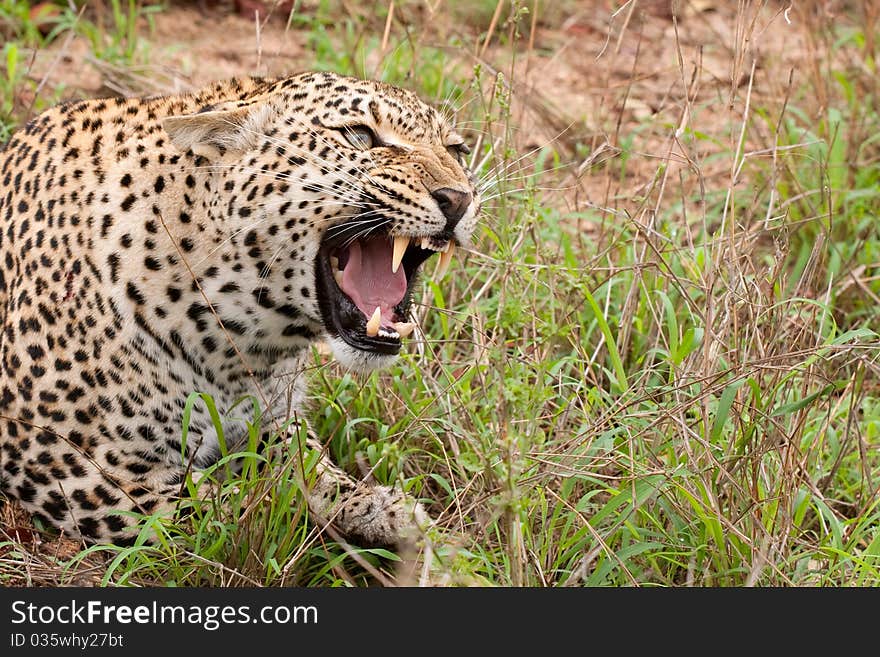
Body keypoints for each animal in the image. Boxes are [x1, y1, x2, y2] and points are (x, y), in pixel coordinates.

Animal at [0, 69, 478, 544]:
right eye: (360, 136)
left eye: (457, 150)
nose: (458, 199)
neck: (239, 346)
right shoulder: (78, 463)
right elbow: (233, 514)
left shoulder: (275, 424)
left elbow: (310, 472)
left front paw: (385, 512)